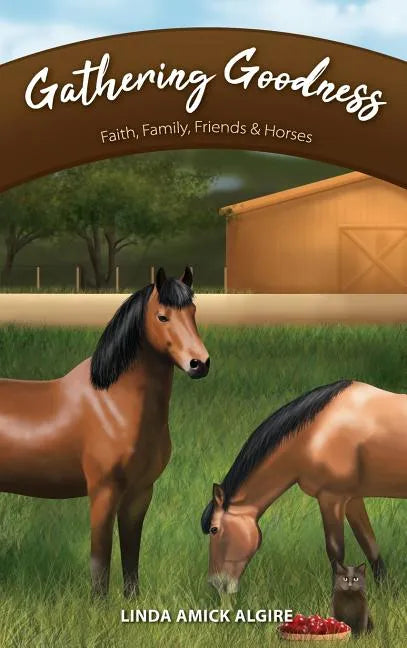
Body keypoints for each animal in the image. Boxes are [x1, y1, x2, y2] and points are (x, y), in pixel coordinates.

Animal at [0, 266, 210, 597]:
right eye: (162, 316)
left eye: (193, 312)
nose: (199, 363)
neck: (113, 403)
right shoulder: (103, 490)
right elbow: (100, 555)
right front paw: (98, 603)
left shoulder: (140, 492)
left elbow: (131, 550)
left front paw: (132, 600)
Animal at [200, 379, 407, 595]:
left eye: (214, 529)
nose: (217, 584)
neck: (317, 433)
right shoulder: (352, 499)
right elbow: (369, 543)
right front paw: (386, 590)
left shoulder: (331, 498)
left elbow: (335, 550)